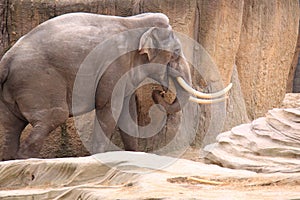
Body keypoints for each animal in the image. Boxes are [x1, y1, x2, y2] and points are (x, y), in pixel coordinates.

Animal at [0, 12, 232, 160]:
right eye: (175, 52)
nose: (159, 91)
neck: (135, 22)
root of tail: (6, 59)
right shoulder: (114, 63)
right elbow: (110, 106)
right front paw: (98, 156)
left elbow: (127, 113)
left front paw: (134, 155)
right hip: (39, 82)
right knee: (52, 117)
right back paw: (27, 161)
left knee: (11, 127)